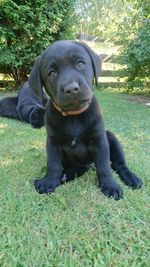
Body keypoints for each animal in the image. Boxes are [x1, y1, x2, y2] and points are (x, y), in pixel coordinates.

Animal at [28, 40, 143, 200]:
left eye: (80, 64)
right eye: (52, 73)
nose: (71, 88)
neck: (74, 115)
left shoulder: (100, 141)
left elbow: (104, 166)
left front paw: (110, 186)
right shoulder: (52, 142)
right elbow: (53, 164)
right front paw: (49, 181)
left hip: (111, 137)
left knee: (118, 164)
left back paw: (131, 177)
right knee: (80, 167)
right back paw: (64, 176)